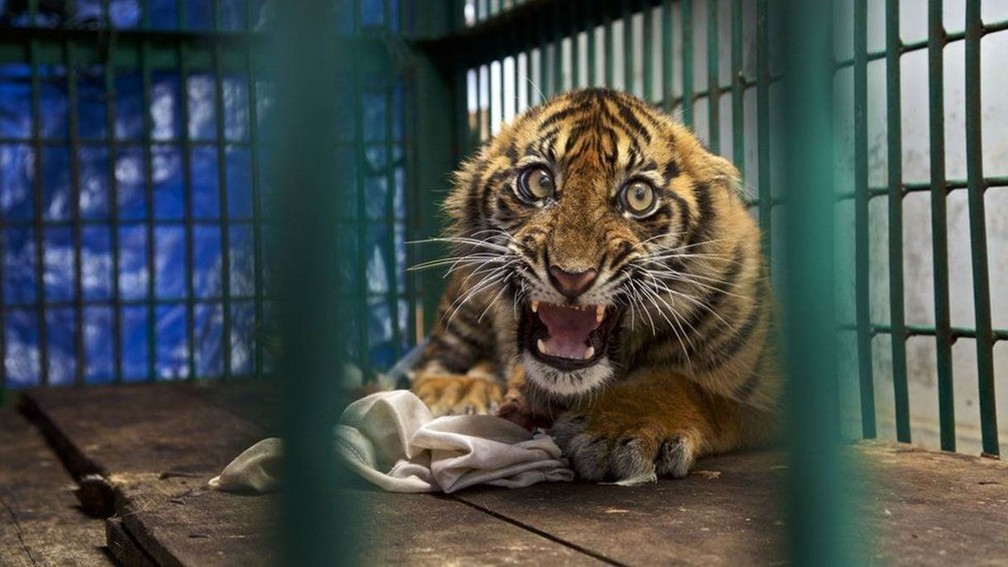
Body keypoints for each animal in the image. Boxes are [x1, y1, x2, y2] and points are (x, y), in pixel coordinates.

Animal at [411, 88, 780, 482]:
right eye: (539, 182)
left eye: (638, 196)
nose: (571, 275)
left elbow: (699, 390)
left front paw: (621, 425)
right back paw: (456, 389)